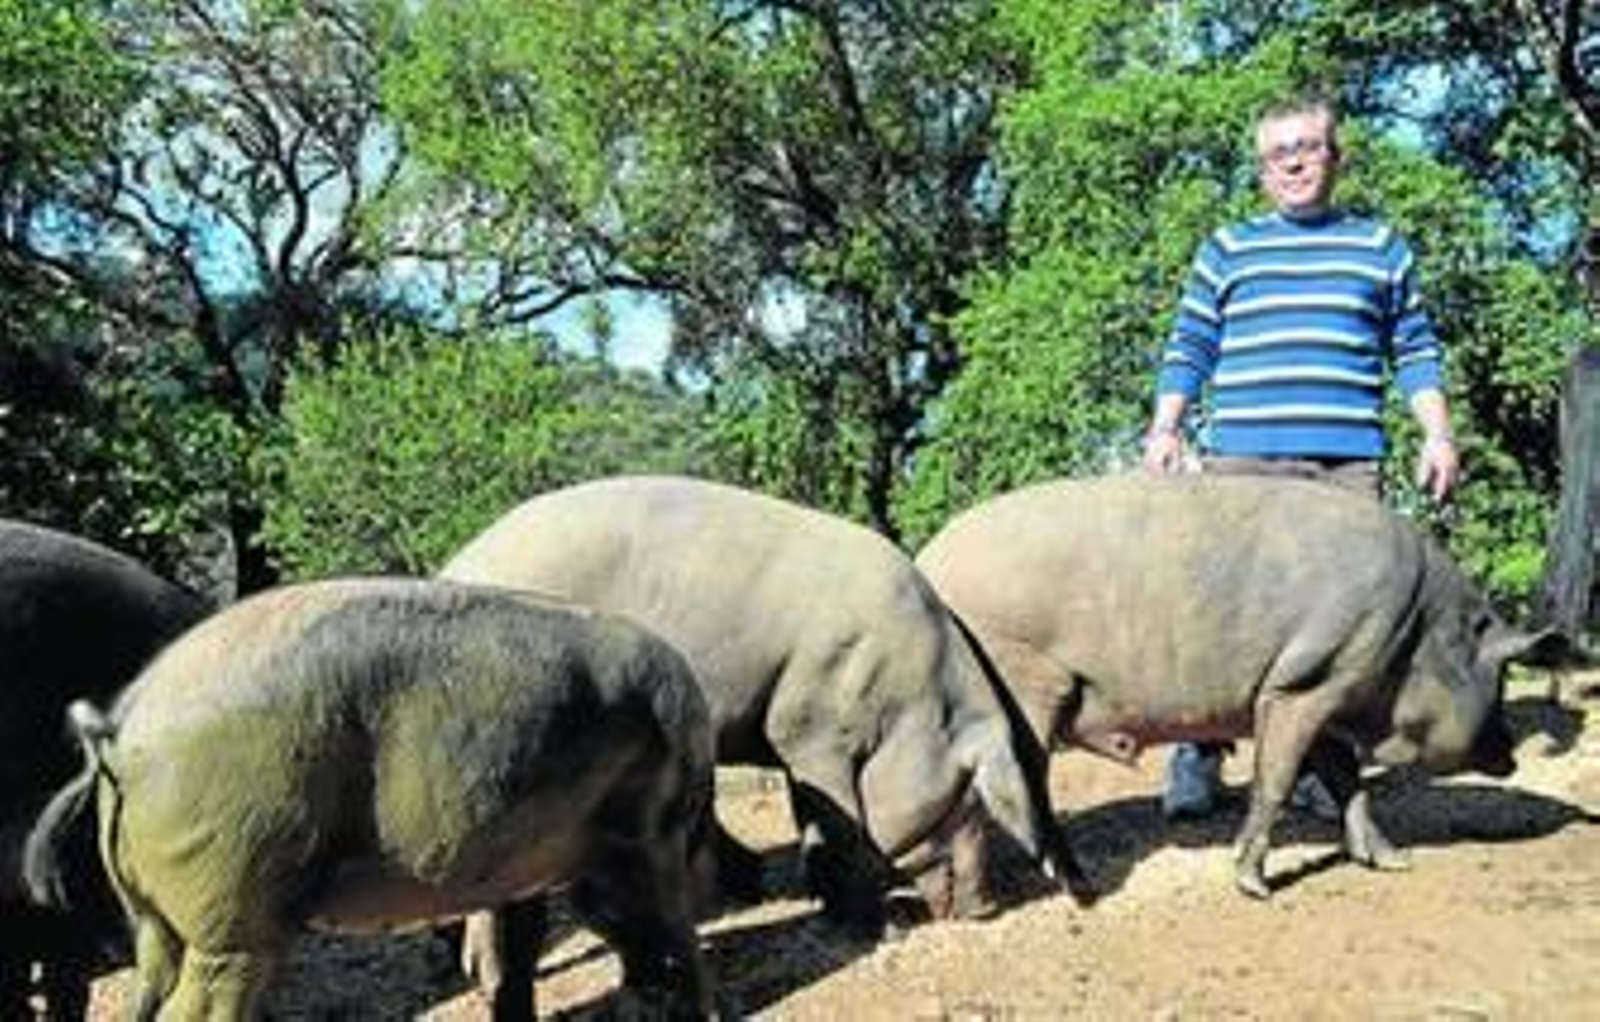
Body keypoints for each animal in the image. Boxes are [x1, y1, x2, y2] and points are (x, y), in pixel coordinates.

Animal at [25, 577, 716, 1020]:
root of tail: (119, 724)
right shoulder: (653, 828)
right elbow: (668, 930)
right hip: (232, 890)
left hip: (159, 910)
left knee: (151, 990)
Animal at [440, 475, 1070, 938]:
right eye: (968, 803)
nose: (986, 909)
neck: (907, 692)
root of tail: (453, 565)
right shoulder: (813, 721)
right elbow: (840, 823)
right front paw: (883, 928)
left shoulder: (796, 738)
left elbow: (813, 814)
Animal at [915, 472, 1566, 899]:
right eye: (1497, 674)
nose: (1512, 754)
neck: (1417, 635)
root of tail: (928, 563)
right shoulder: (1305, 683)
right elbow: (1274, 780)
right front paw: (1255, 887)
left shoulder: (1325, 692)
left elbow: (1347, 780)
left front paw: (1393, 863)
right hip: (1025, 684)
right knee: (1022, 784)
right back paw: (1078, 887)